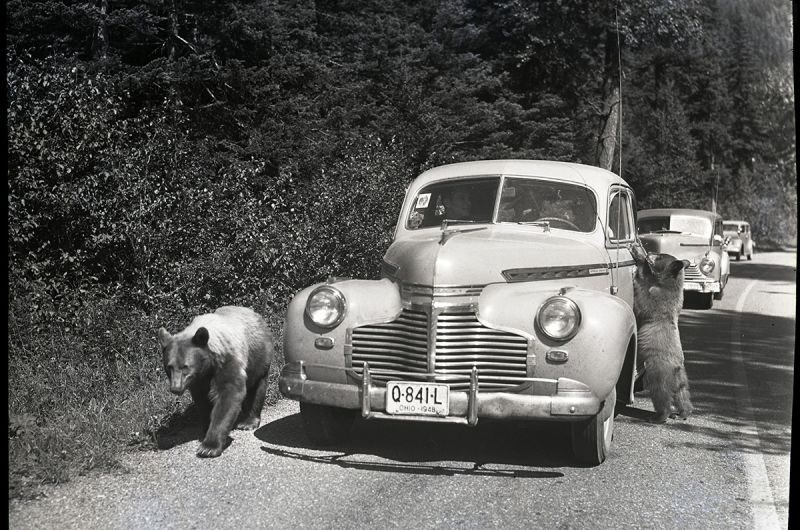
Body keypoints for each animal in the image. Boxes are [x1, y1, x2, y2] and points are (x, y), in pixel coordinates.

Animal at [157, 306, 274, 457]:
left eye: (185, 366)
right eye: (169, 367)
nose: (176, 388)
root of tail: (254, 313)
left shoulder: (228, 361)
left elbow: (229, 395)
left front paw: (209, 446)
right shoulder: (199, 379)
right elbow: (202, 401)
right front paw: (205, 428)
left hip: (258, 356)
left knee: (257, 388)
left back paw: (248, 422)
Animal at [630, 243, 693, 423]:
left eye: (659, 256)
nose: (651, 251)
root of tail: (676, 369)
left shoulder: (659, 301)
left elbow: (643, 302)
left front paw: (638, 269)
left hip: (658, 373)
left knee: (661, 395)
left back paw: (660, 416)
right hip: (682, 381)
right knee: (683, 395)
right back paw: (683, 413)